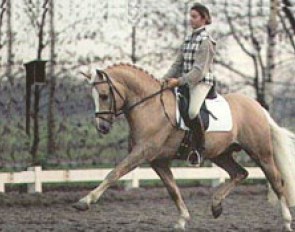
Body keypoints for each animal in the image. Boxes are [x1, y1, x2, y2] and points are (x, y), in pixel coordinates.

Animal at [73, 63, 295, 230]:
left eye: (104, 96)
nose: (102, 127)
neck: (150, 106)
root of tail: (258, 107)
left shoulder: (142, 153)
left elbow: (114, 173)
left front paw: (85, 202)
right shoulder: (158, 161)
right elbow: (172, 189)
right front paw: (182, 220)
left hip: (261, 153)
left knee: (276, 181)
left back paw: (286, 222)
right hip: (220, 154)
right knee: (240, 173)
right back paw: (216, 206)